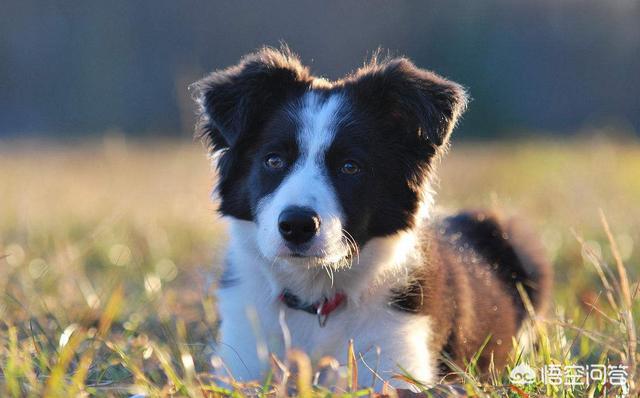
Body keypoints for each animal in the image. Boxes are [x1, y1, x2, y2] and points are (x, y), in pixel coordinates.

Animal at [194, 46, 552, 388]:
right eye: (273, 160)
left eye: (350, 167)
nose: (296, 226)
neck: (317, 302)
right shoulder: (242, 361)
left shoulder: (396, 365)